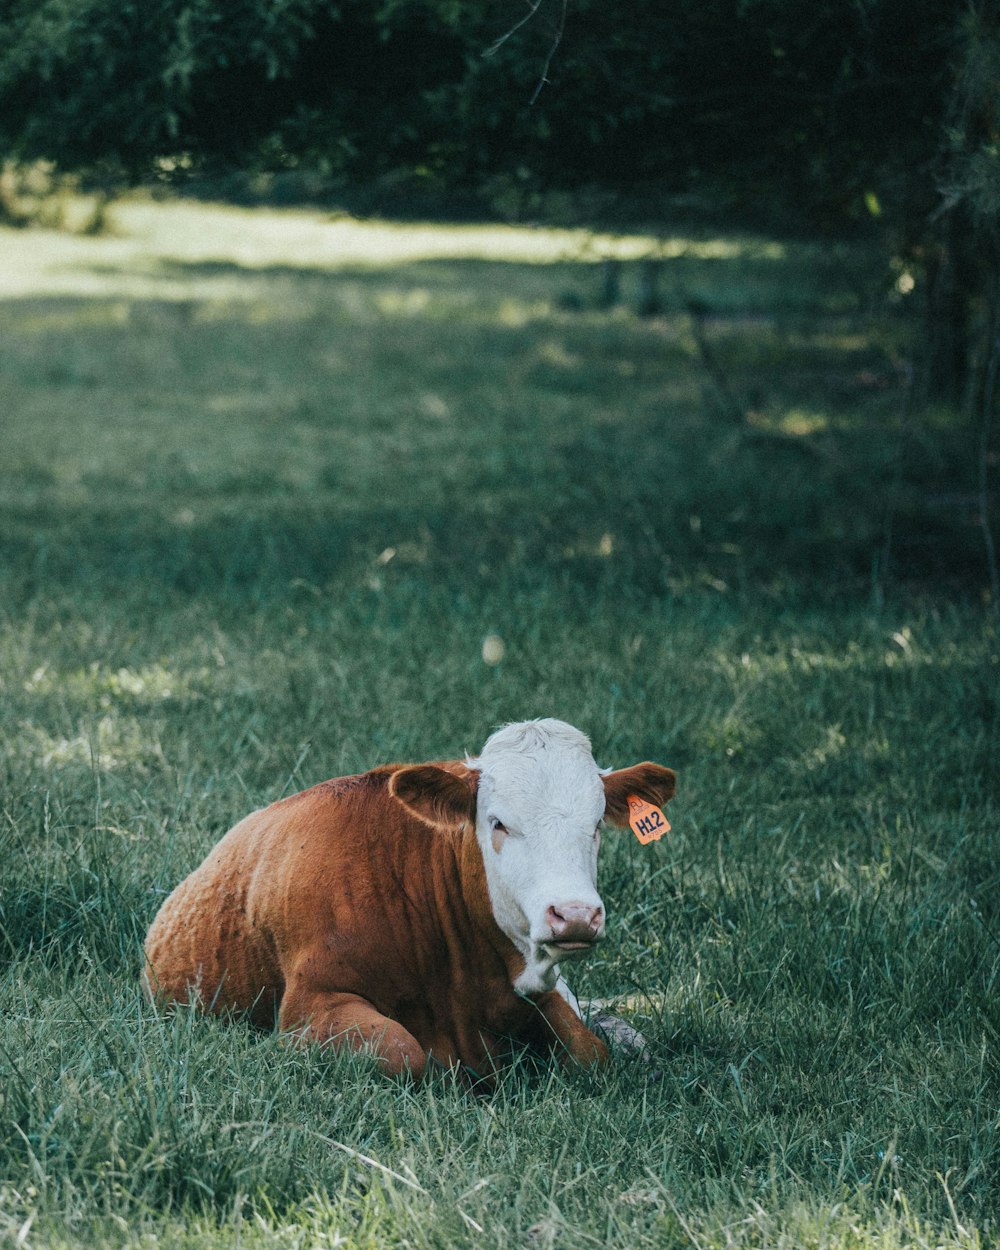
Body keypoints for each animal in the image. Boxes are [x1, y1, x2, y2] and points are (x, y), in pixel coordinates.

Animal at [140, 725, 675, 1085]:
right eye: (498, 823)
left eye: (596, 825)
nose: (575, 915)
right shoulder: (309, 1004)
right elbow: (404, 1052)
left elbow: (589, 1052)